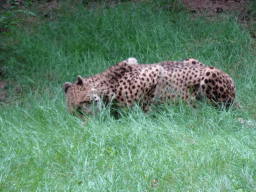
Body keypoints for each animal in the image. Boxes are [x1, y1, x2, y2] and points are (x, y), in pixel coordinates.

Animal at [62, 57, 238, 114]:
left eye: (81, 105)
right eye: (74, 113)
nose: (85, 120)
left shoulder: (154, 71)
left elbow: (149, 99)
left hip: (210, 74)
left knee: (220, 107)